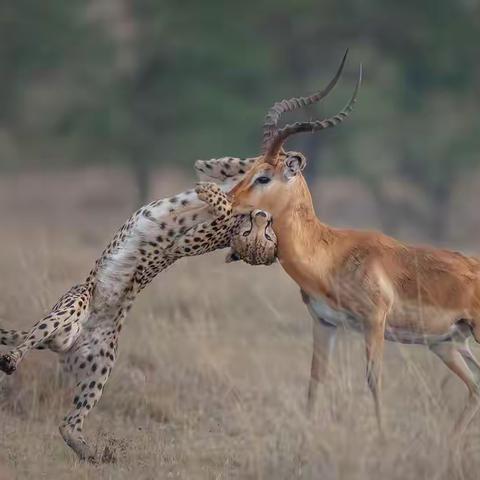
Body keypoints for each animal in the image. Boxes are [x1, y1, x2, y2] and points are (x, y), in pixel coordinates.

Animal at [0, 157, 278, 462]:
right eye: (255, 233)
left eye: (265, 237)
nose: (263, 217)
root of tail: (71, 341)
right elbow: (233, 169)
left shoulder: (184, 241)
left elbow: (224, 206)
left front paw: (213, 191)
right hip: (90, 354)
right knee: (62, 408)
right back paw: (93, 453)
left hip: (94, 353)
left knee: (65, 418)